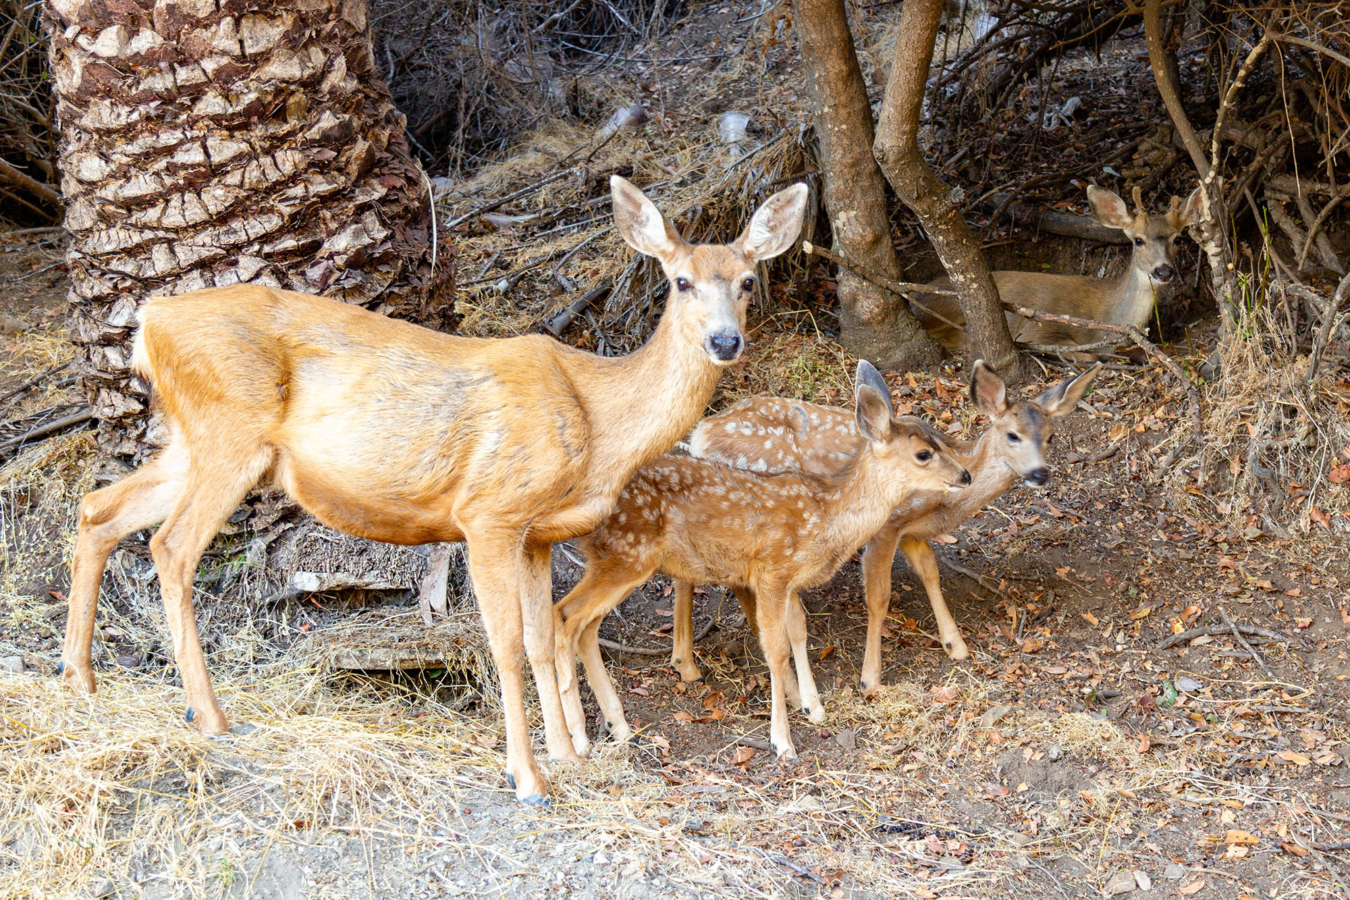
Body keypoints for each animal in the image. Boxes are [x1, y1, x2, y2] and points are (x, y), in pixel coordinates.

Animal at [57, 175, 809, 805]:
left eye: (748, 280)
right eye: (681, 281)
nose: (725, 341)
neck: (598, 418)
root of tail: (150, 321)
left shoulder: (538, 532)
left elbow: (542, 637)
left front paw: (567, 756)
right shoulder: (488, 511)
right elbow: (505, 644)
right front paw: (528, 777)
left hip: (193, 441)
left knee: (99, 510)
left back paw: (80, 679)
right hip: (228, 430)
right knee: (171, 547)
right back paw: (211, 716)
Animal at [552, 361, 971, 759]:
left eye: (940, 438)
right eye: (923, 454)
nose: (965, 475)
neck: (825, 517)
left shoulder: (788, 580)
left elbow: (798, 630)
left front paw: (813, 707)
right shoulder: (772, 570)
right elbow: (776, 648)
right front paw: (782, 741)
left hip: (616, 560)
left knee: (584, 627)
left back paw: (619, 727)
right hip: (626, 554)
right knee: (565, 617)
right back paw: (579, 740)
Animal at [676, 361, 1099, 694]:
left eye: (1051, 436)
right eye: (1013, 435)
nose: (1040, 473)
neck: (945, 506)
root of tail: (700, 435)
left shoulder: (911, 530)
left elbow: (930, 572)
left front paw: (955, 645)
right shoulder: (886, 526)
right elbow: (878, 597)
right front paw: (870, 678)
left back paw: (688, 663)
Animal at [909, 185, 1203, 354]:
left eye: (1178, 239)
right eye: (1138, 240)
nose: (1164, 271)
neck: (1107, 318)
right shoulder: (1037, 329)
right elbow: (1083, 352)